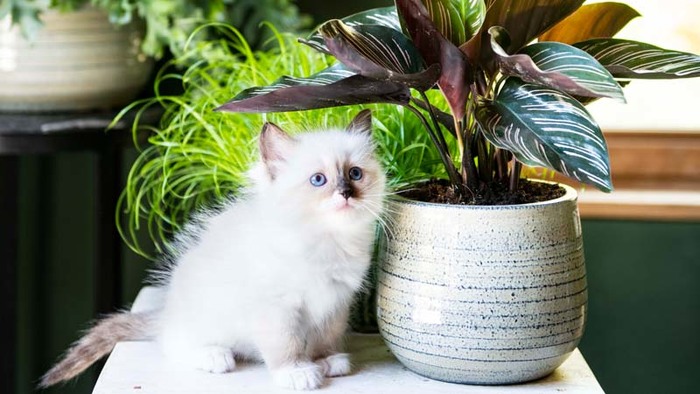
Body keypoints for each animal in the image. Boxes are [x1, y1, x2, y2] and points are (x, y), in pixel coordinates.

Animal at [41, 109, 388, 390]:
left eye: (355, 174)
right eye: (318, 180)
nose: (346, 194)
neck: (327, 240)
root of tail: (165, 313)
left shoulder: (335, 304)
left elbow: (324, 338)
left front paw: (327, 362)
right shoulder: (276, 308)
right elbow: (286, 346)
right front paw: (298, 373)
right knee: (172, 343)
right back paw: (215, 357)